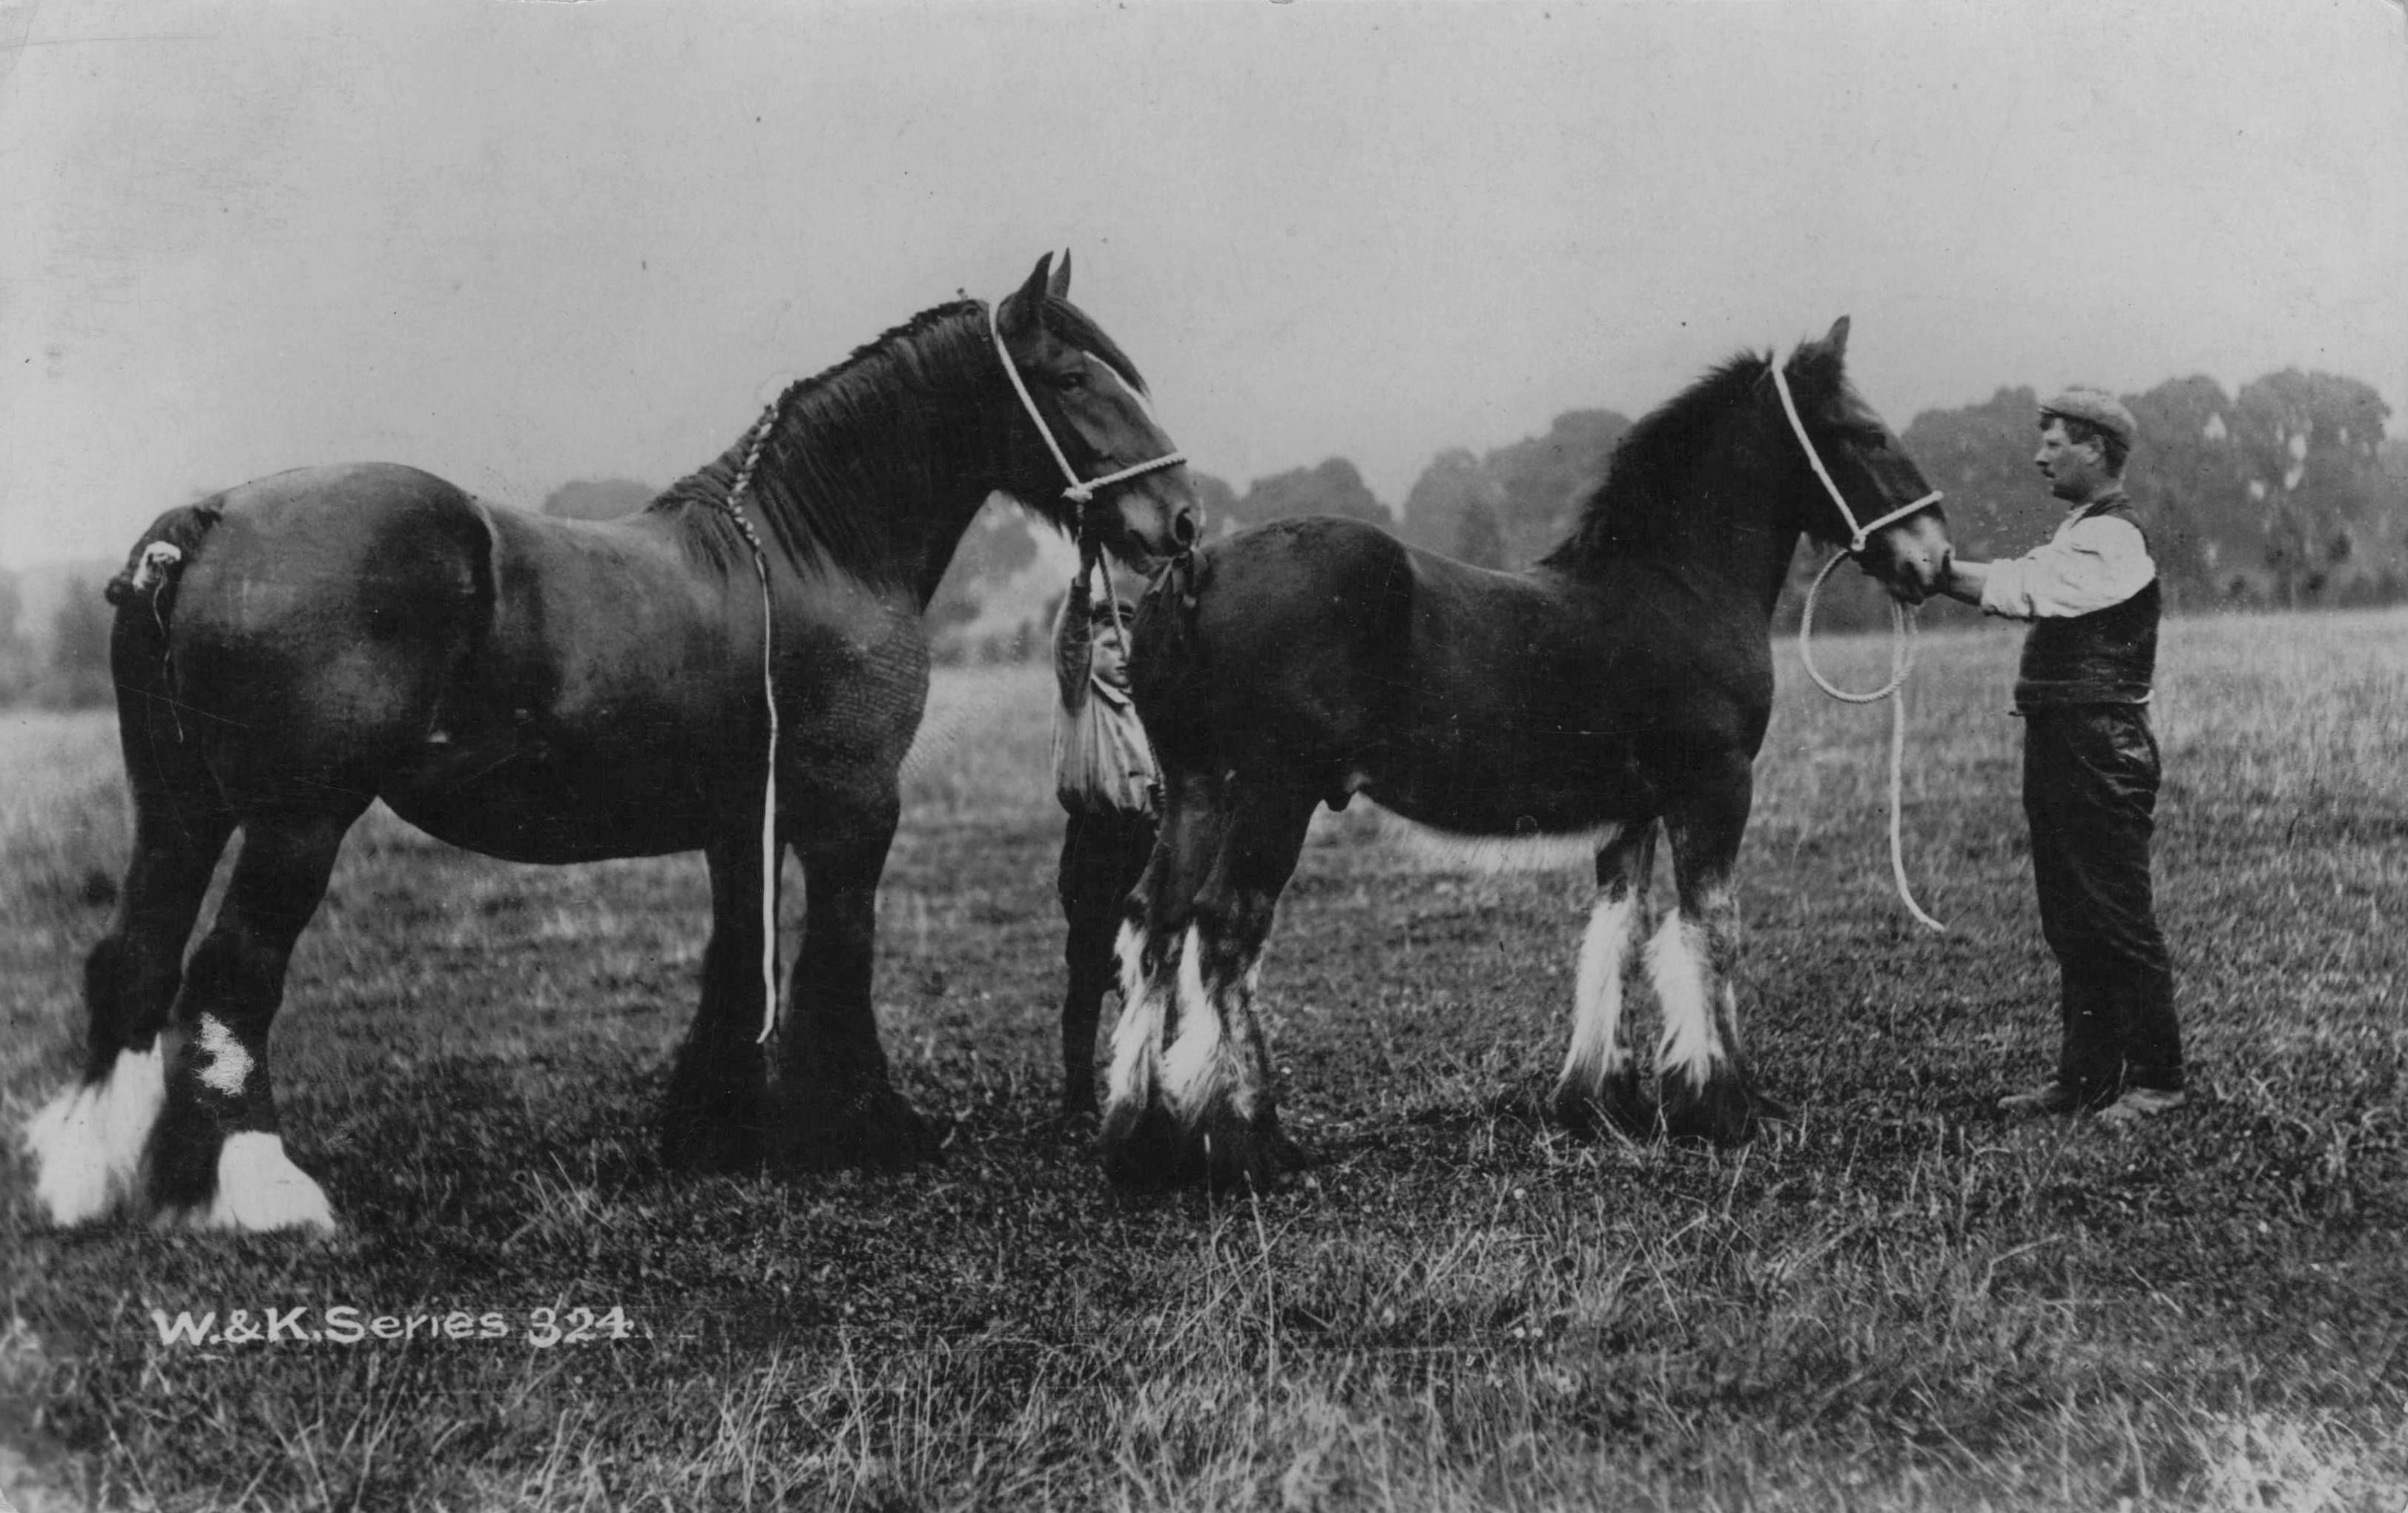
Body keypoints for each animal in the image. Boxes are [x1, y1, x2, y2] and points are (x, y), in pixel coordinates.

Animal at [23, 253, 1203, 1232]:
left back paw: (92, 1183)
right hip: (295, 826)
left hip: (180, 811)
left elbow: (738, 961)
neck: (814, 551)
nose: (1181, 522)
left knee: (134, 959)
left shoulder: (742, 824)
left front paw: (718, 1131)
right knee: (230, 975)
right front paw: (869, 1129)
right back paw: (265, 1194)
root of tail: (208, 521)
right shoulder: (853, 809)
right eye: (1070, 379)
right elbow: (838, 956)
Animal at [1101, 318, 1951, 1190]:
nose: (1934, 559)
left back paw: (1143, 1136)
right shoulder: (1715, 788)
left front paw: (1602, 1095)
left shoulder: (1634, 812)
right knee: (1225, 931)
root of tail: (1195, 569)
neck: (1677, 586)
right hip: (1274, 797)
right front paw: (1727, 1104)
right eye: (1867, 433)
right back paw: (1249, 1140)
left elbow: (1620, 930)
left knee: (1153, 923)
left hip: (1198, 793)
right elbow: (1711, 931)